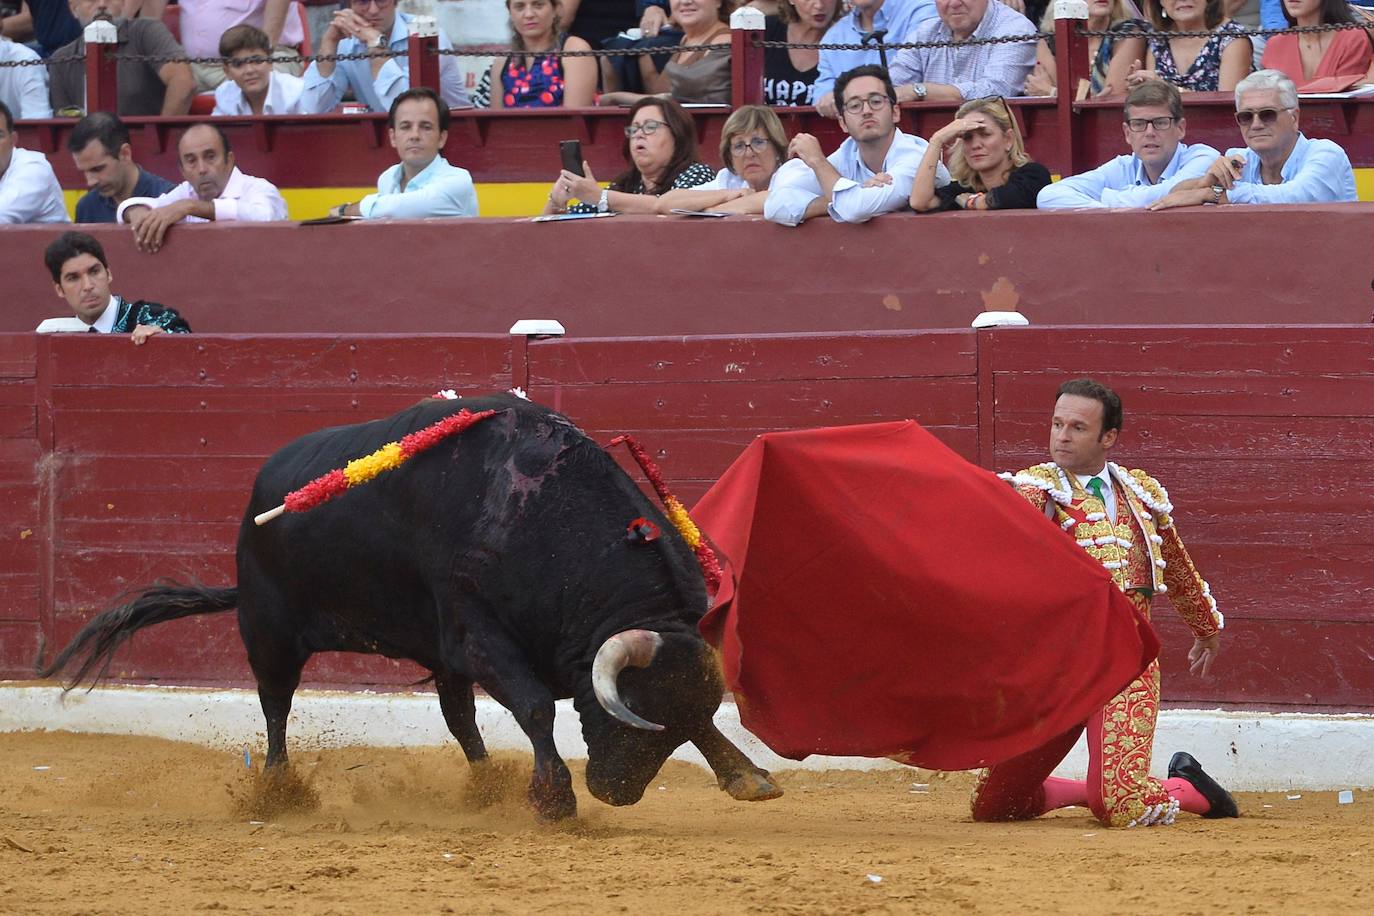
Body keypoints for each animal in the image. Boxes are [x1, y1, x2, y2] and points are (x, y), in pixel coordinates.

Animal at [34, 392, 785, 818]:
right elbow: (535, 706)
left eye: (673, 727)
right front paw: (554, 799)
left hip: (429, 650)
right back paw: (278, 792)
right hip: (269, 632)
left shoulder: (464, 643)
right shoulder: (477, 632)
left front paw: (747, 777)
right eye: (631, 716)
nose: (617, 793)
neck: (542, 515)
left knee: (460, 721)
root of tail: (257, 497)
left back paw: (485, 787)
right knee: (275, 710)